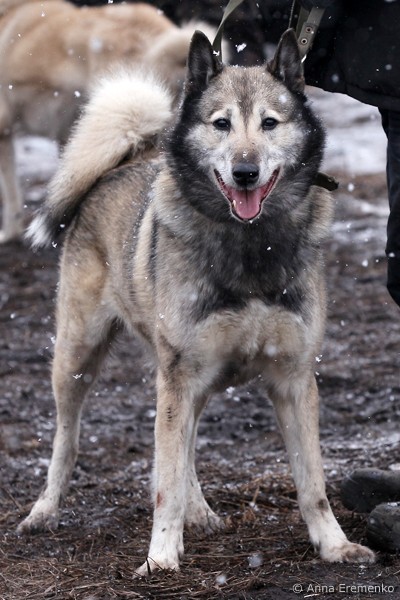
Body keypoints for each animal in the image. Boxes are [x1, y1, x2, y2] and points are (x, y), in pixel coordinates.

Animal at [18, 29, 376, 573]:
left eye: (269, 124)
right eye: (221, 123)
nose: (246, 171)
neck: (251, 246)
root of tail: (123, 162)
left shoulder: (294, 379)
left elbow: (312, 483)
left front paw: (334, 545)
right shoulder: (180, 376)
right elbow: (164, 482)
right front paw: (161, 558)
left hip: (196, 378)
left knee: (184, 447)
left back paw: (201, 511)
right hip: (80, 358)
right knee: (68, 438)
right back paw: (44, 510)